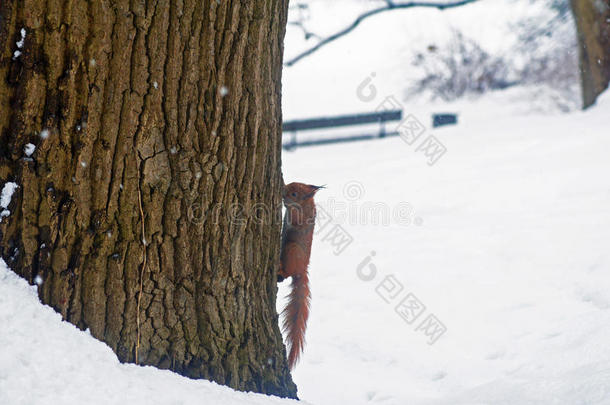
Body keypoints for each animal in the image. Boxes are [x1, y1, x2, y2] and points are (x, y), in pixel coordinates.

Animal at [276, 181, 324, 368]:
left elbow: (296, 218)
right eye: (290, 184)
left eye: (294, 194)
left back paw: (280, 270)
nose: (283, 192)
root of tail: (301, 270)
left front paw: (286, 205)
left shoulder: (302, 216)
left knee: (287, 273)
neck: (306, 203)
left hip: (291, 249)